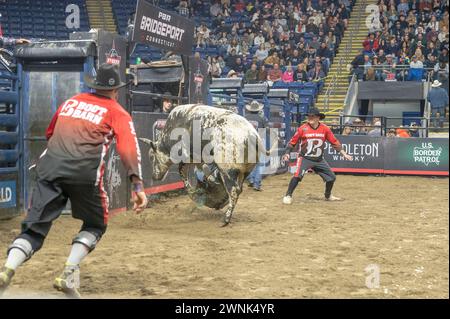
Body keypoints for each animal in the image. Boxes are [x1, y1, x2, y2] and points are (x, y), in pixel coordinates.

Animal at [141, 104, 276, 226]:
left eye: (152, 157)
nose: (154, 176)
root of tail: (252, 135)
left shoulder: (187, 155)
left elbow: (183, 171)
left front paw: (194, 191)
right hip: (245, 171)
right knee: (238, 189)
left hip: (227, 169)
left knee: (233, 190)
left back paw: (225, 219)